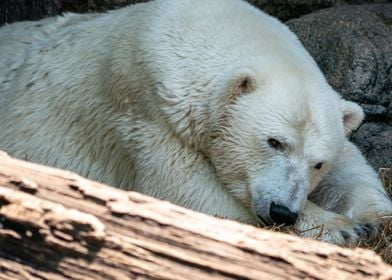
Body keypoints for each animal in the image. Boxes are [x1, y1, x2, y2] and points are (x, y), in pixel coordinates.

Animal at [0, 0, 392, 245]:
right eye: (274, 142)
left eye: (317, 163)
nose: (282, 212)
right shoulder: (148, 112)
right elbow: (192, 194)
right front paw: (343, 229)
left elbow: (351, 164)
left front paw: (373, 218)